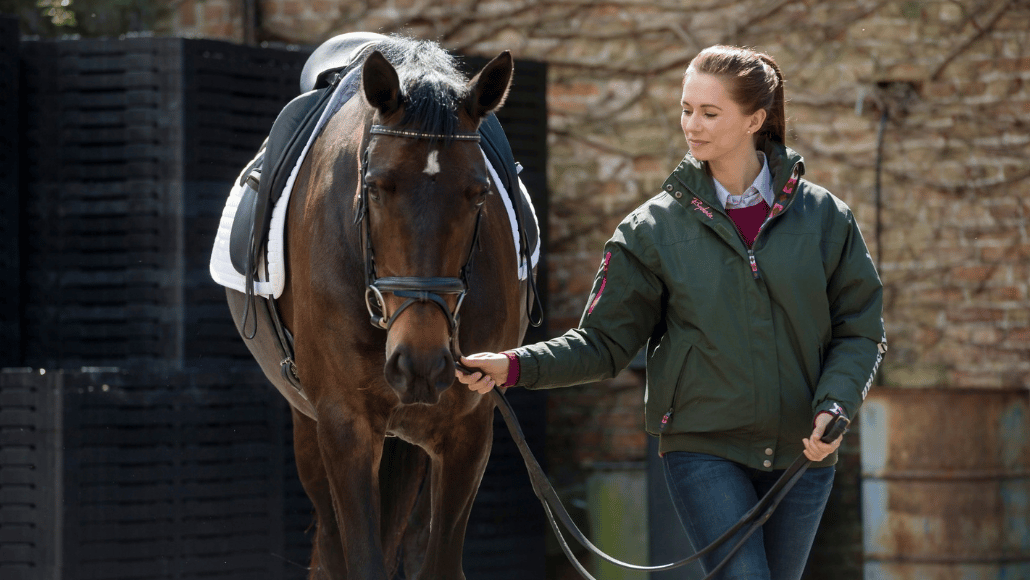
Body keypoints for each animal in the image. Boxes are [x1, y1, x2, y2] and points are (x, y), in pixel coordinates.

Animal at [225, 37, 532, 579]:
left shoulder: (469, 429)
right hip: (310, 426)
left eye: (479, 194)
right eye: (374, 187)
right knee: (331, 545)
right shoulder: (344, 424)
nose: (421, 363)